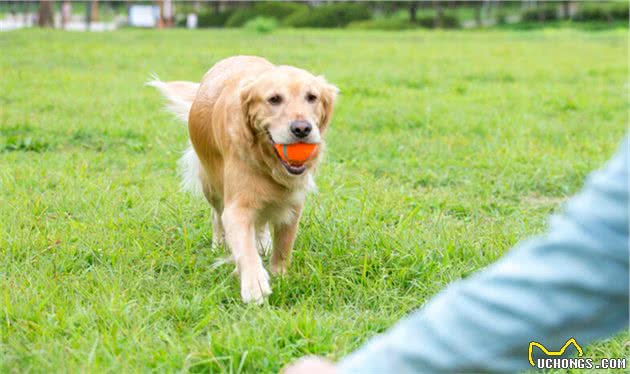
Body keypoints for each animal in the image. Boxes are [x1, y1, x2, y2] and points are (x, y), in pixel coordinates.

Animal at [150, 56, 338, 304]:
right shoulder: (237, 206)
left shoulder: (293, 202)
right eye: (274, 99)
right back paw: (219, 244)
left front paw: (279, 274)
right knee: (216, 215)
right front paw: (254, 284)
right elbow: (244, 246)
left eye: (312, 97)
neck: (268, 161)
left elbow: (284, 245)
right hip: (211, 185)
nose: (302, 129)